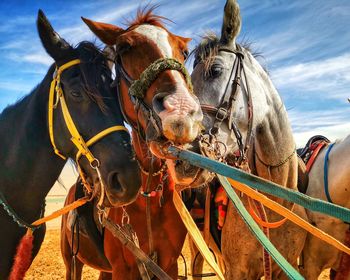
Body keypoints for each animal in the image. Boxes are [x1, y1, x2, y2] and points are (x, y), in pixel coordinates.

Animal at [60, 7, 202, 280]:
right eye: (124, 48)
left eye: (184, 52)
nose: (181, 111)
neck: (148, 198)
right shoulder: (123, 269)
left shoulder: (168, 264)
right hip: (72, 262)